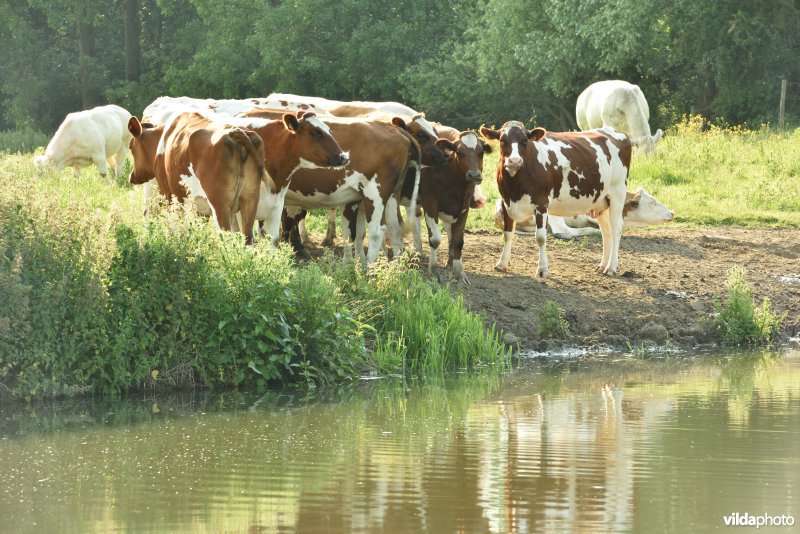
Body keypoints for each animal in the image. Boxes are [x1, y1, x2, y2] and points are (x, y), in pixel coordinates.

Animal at [482, 122, 632, 278]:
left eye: (525, 141)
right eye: (502, 140)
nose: (514, 161)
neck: (515, 189)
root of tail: (612, 130)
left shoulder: (541, 204)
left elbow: (540, 237)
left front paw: (542, 269)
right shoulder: (506, 203)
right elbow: (507, 235)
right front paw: (502, 263)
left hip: (617, 192)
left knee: (616, 228)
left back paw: (611, 267)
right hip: (600, 201)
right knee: (605, 230)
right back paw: (602, 265)